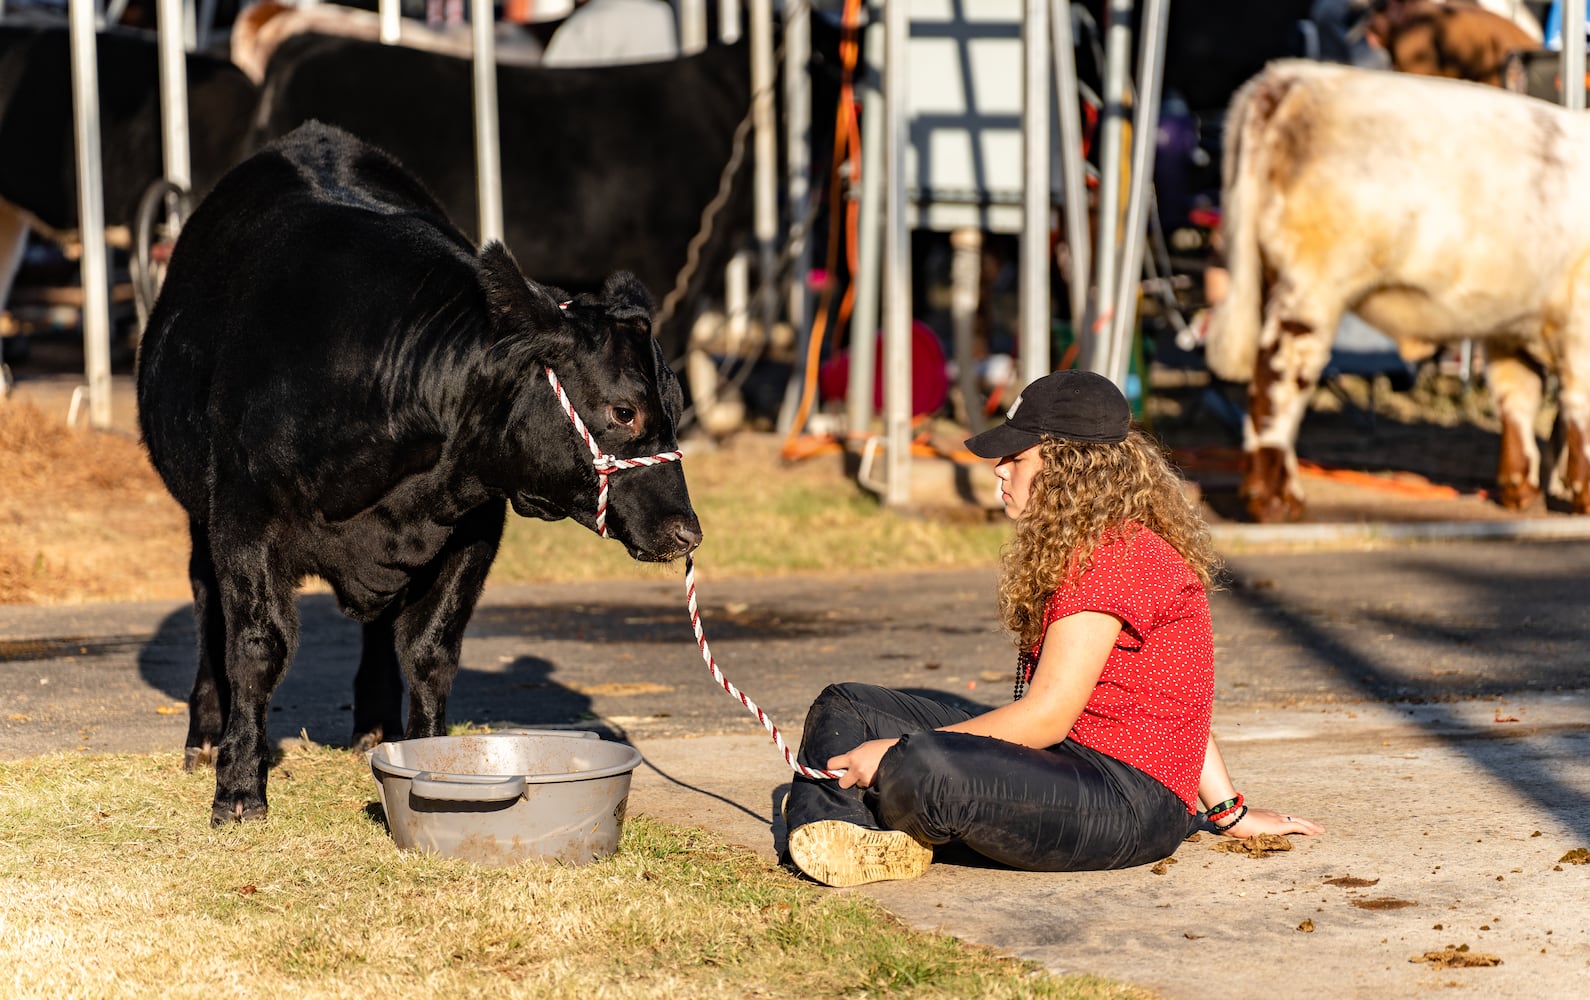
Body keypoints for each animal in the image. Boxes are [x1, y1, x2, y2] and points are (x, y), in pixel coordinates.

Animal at [1202, 58, 1590, 521]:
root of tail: (1294, 75)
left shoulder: (1510, 325)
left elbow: (1518, 397)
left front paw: (1521, 491)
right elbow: (1579, 406)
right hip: (1310, 288)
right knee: (1278, 382)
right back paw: (1276, 500)